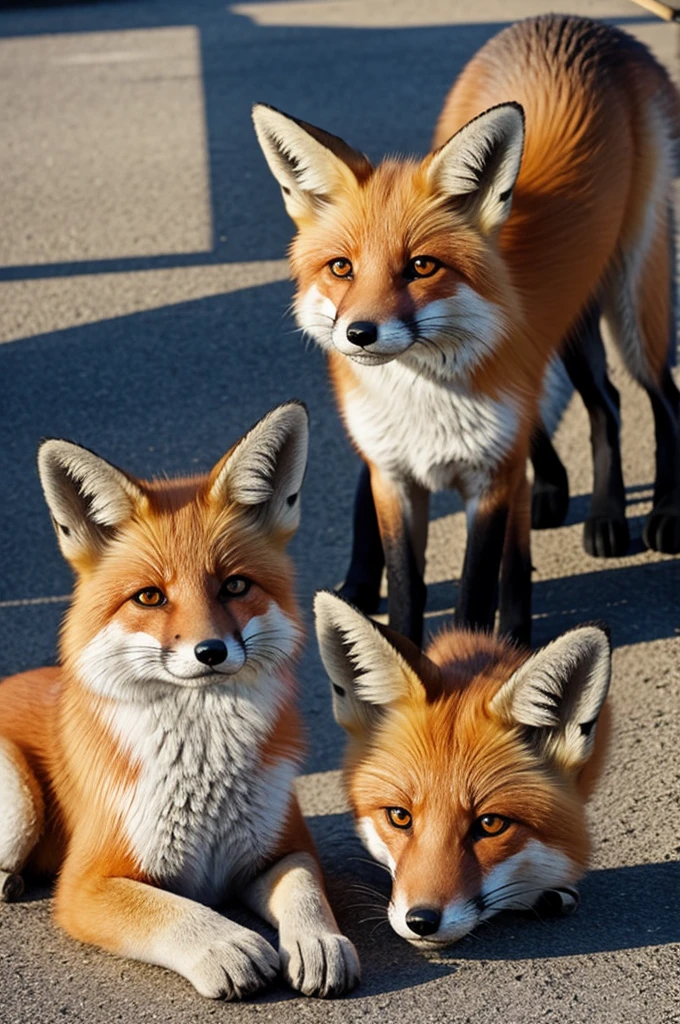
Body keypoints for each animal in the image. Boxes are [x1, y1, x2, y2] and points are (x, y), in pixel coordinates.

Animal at [0, 403, 359, 1000]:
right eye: (150, 597)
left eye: (234, 586)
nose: (210, 652)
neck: (203, 778)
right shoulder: (87, 883)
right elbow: (173, 912)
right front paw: (226, 945)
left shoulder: (281, 848)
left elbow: (305, 891)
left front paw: (318, 940)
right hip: (20, 806)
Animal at [253, 14, 680, 646]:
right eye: (341, 268)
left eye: (422, 266)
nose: (359, 334)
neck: (427, 400)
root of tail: (579, 24)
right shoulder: (395, 477)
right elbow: (408, 594)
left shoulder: (488, 485)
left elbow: (475, 597)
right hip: (573, 332)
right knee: (604, 403)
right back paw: (580, 503)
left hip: (633, 301)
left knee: (657, 397)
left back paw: (656, 514)